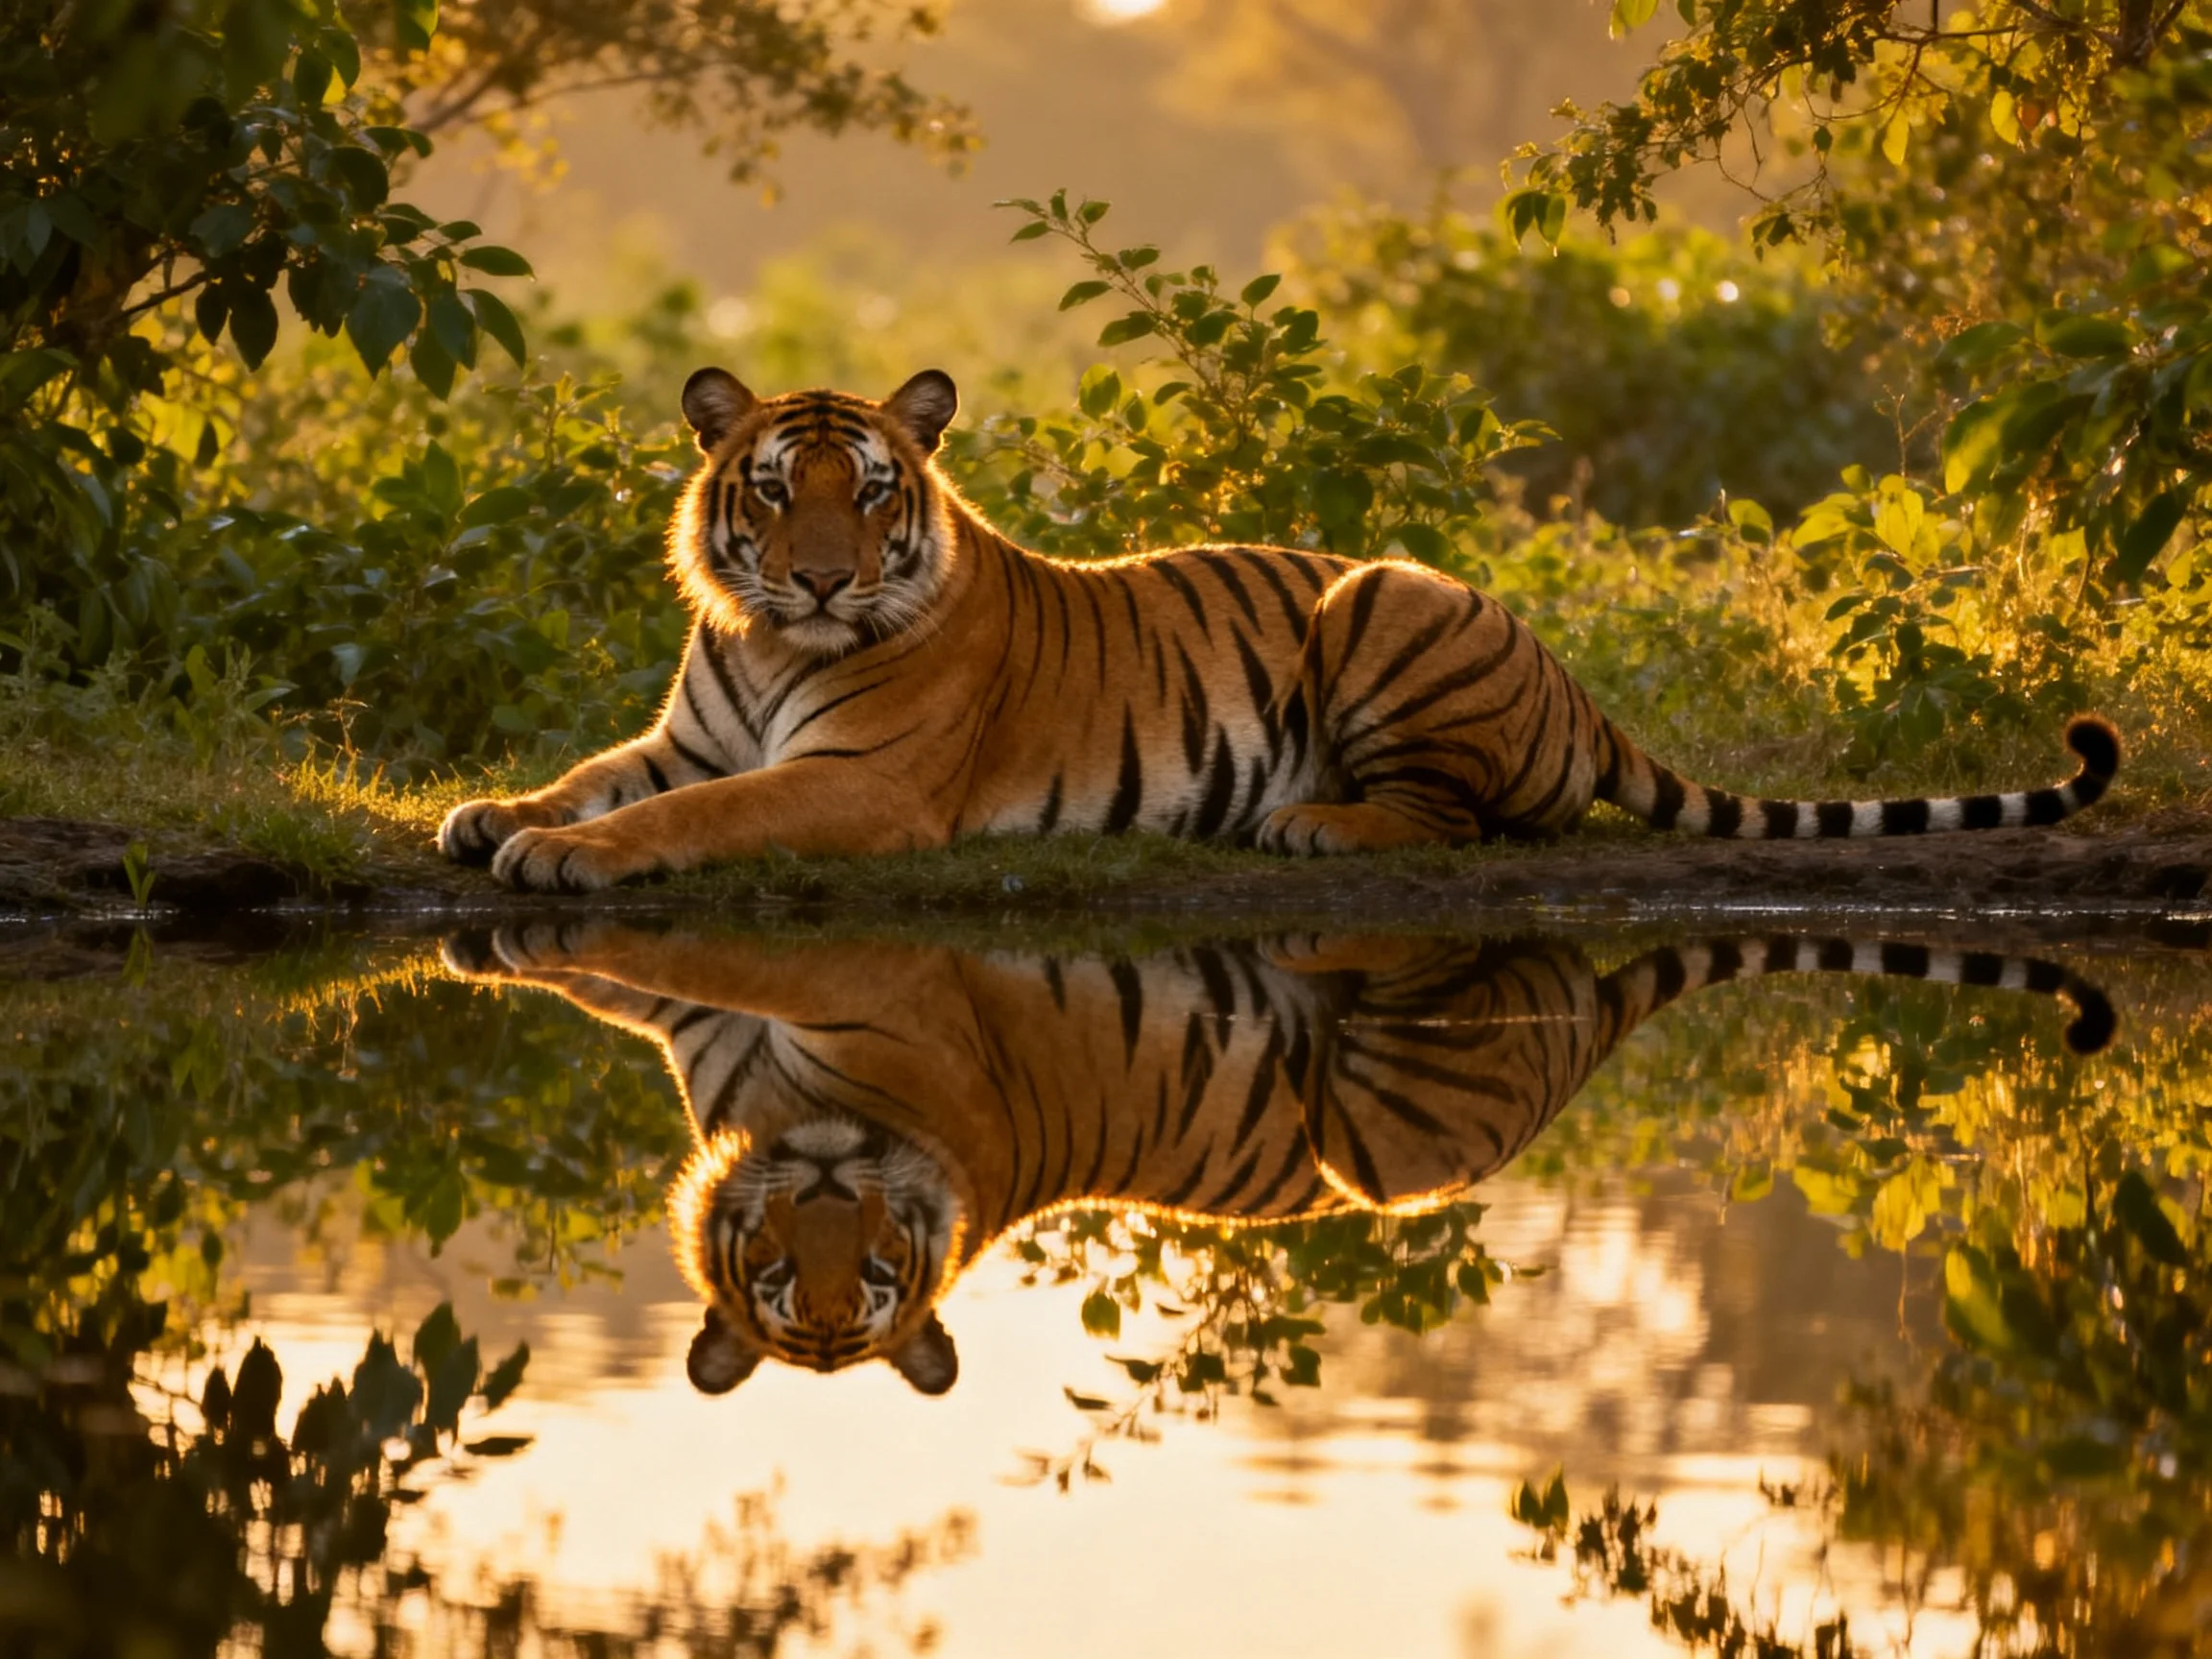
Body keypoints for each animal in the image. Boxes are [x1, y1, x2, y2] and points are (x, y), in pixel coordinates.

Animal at [436, 368, 2122, 892]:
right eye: (780, 492)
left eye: (873, 492)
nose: (827, 583)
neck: (766, 641)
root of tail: (1576, 683)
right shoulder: (684, 734)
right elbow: (595, 775)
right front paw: (492, 814)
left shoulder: (863, 782)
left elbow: (693, 818)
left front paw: (567, 859)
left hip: (1378, 595)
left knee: (1466, 820)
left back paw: (1311, 825)